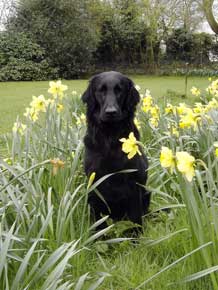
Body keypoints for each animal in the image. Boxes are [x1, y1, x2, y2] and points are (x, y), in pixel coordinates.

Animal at [82, 71, 150, 230]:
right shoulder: (95, 182)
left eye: (120, 90)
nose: (111, 112)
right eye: (101, 90)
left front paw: (136, 236)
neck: (110, 137)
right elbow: (98, 221)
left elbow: (135, 217)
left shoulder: (133, 183)